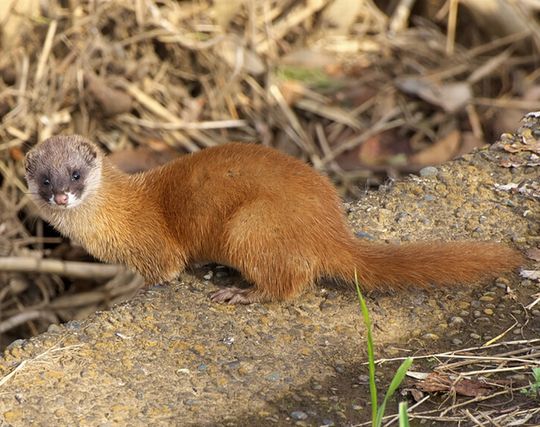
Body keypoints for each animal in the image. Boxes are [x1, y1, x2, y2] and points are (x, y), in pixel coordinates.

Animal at [24, 135, 524, 304]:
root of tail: (331, 229)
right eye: (44, 179)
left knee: (289, 284)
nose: (62, 195)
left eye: (75, 172)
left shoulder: (154, 249)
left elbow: (165, 271)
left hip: (252, 225)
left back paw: (239, 293)